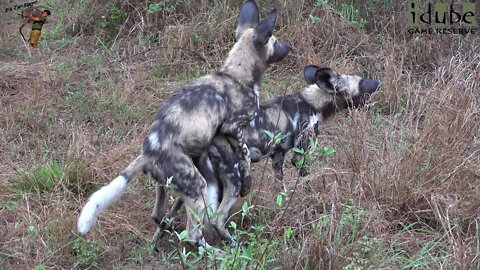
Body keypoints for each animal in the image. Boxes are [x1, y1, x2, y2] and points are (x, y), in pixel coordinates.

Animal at [77, 0, 290, 250]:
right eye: (275, 40)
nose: (290, 47)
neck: (237, 74)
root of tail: (147, 153)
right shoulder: (232, 128)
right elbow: (245, 156)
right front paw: (247, 182)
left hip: (172, 186)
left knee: (159, 215)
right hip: (196, 185)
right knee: (192, 235)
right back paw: (216, 252)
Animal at [154, 66, 382, 240]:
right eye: (362, 82)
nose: (378, 81)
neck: (313, 102)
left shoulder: (277, 157)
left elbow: (281, 188)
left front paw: (283, 207)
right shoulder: (301, 152)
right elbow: (304, 178)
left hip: (203, 180)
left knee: (169, 212)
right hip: (233, 179)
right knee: (217, 219)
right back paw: (231, 244)